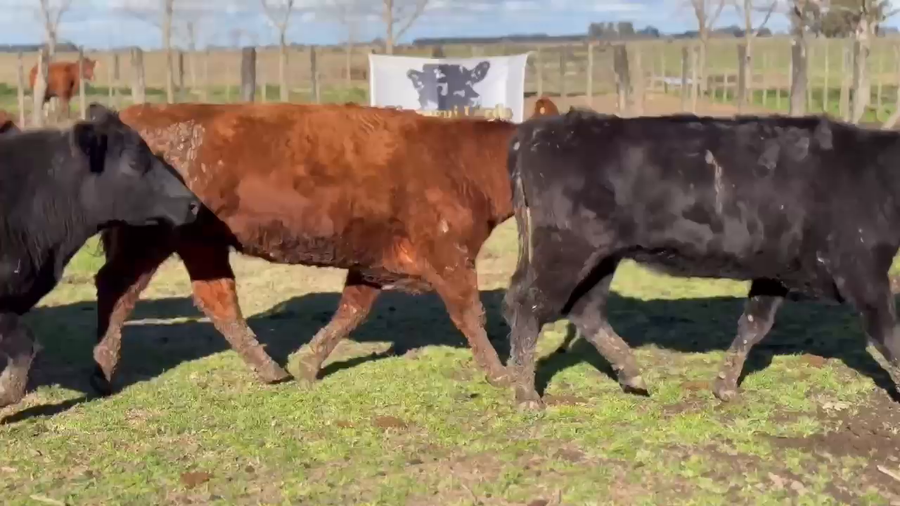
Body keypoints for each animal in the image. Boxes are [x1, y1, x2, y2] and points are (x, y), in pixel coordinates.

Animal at [86, 99, 555, 396]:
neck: (463, 163)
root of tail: (138, 113)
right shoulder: (449, 256)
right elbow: (470, 314)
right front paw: (501, 374)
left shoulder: (376, 264)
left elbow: (351, 311)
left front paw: (310, 364)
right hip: (151, 239)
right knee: (120, 288)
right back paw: (103, 369)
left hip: (198, 243)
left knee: (208, 297)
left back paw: (268, 370)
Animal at [502, 109, 900, 410]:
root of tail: (543, 129)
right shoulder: (863, 273)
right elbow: (889, 335)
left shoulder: (774, 271)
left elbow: (753, 324)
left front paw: (725, 386)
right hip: (566, 250)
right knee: (528, 305)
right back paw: (526, 396)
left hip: (602, 257)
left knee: (585, 310)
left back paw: (632, 374)